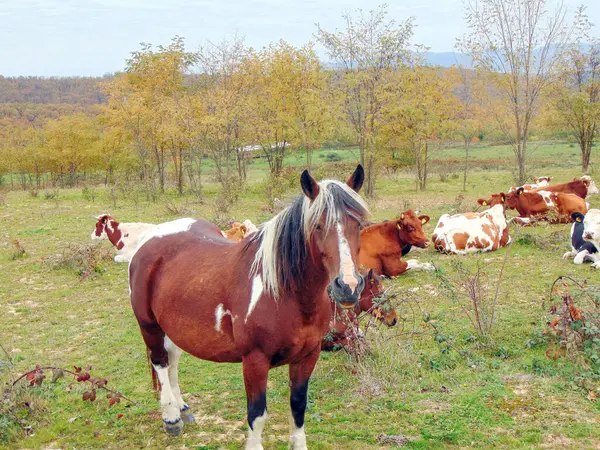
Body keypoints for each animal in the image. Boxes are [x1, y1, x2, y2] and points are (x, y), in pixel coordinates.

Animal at [129, 166, 368, 450]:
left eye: (360, 224)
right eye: (318, 225)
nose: (348, 286)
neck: (285, 294)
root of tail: (151, 239)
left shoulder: (308, 356)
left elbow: (298, 407)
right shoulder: (255, 361)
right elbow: (257, 414)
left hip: (172, 326)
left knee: (172, 358)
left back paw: (182, 409)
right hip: (149, 325)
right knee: (160, 363)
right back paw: (171, 417)